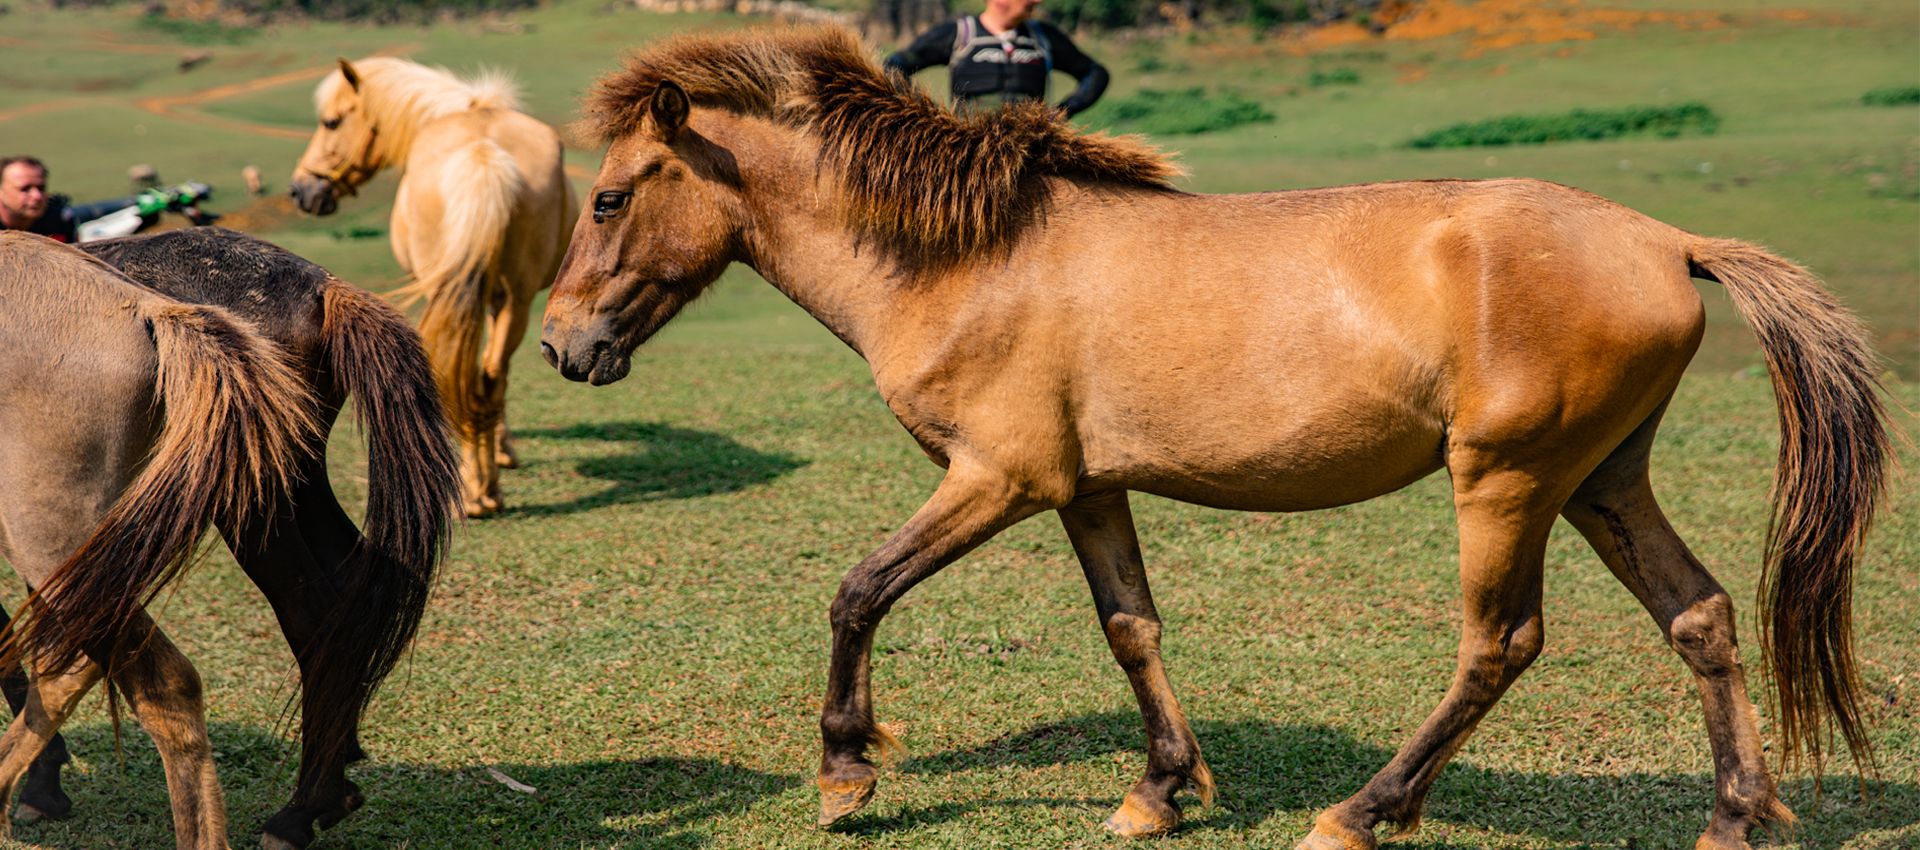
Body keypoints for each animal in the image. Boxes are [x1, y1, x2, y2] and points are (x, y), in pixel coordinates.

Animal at [0, 229, 460, 850]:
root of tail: (319, 287)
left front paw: (43, 785)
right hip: (292, 482)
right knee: (349, 597)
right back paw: (331, 781)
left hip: (220, 508)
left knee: (299, 614)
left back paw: (299, 811)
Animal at [289, 56, 576, 518]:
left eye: (331, 122)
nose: (301, 190)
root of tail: (482, 156)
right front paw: (501, 449)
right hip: (513, 299)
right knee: (488, 378)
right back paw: (486, 489)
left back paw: (474, 490)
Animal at [537, 29, 1889, 850]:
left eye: (606, 197)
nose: (559, 345)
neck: (972, 258)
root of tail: (1665, 240)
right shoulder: (1085, 489)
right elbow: (1131, 627)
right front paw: (1159, 789)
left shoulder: (996, 480)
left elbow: (858, 590)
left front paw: (844, 773)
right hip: (1604, 478)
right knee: (1699, 616)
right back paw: (1734, 813)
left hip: (1509, 483)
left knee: (1499, 644)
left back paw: (1361, 810)